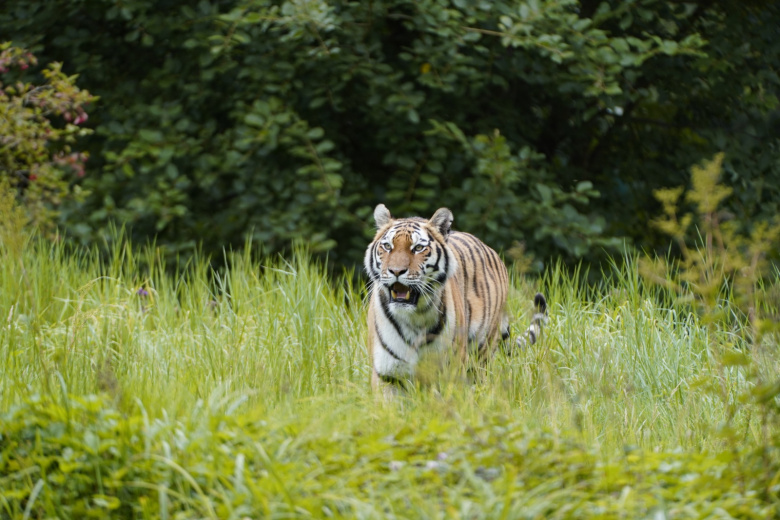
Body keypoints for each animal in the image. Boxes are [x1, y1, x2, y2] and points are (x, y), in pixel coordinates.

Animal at [364, 203, 547, 393]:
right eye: (387, 246)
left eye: (418, 248)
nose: (396, 271)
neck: (415, 318)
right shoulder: (388, 374)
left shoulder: (450, 370)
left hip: (482, 351)